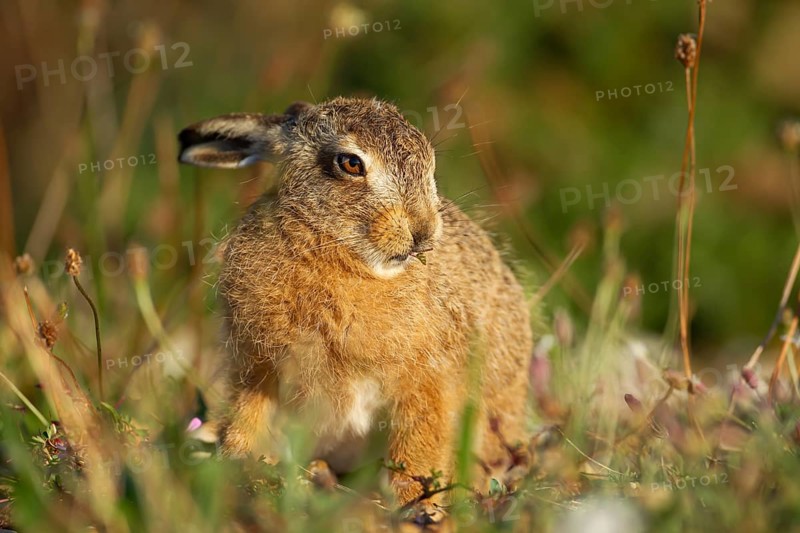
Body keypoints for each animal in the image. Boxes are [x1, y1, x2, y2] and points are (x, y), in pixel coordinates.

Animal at [177, 97, 533, 510]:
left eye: (429, 163)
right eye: (350, 163)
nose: (423, 231)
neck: (333, 252)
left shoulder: (429, 384)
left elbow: (418, 448)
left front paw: (413, 502)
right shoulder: (258, 367)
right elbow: (246, 417)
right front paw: (235, 462)